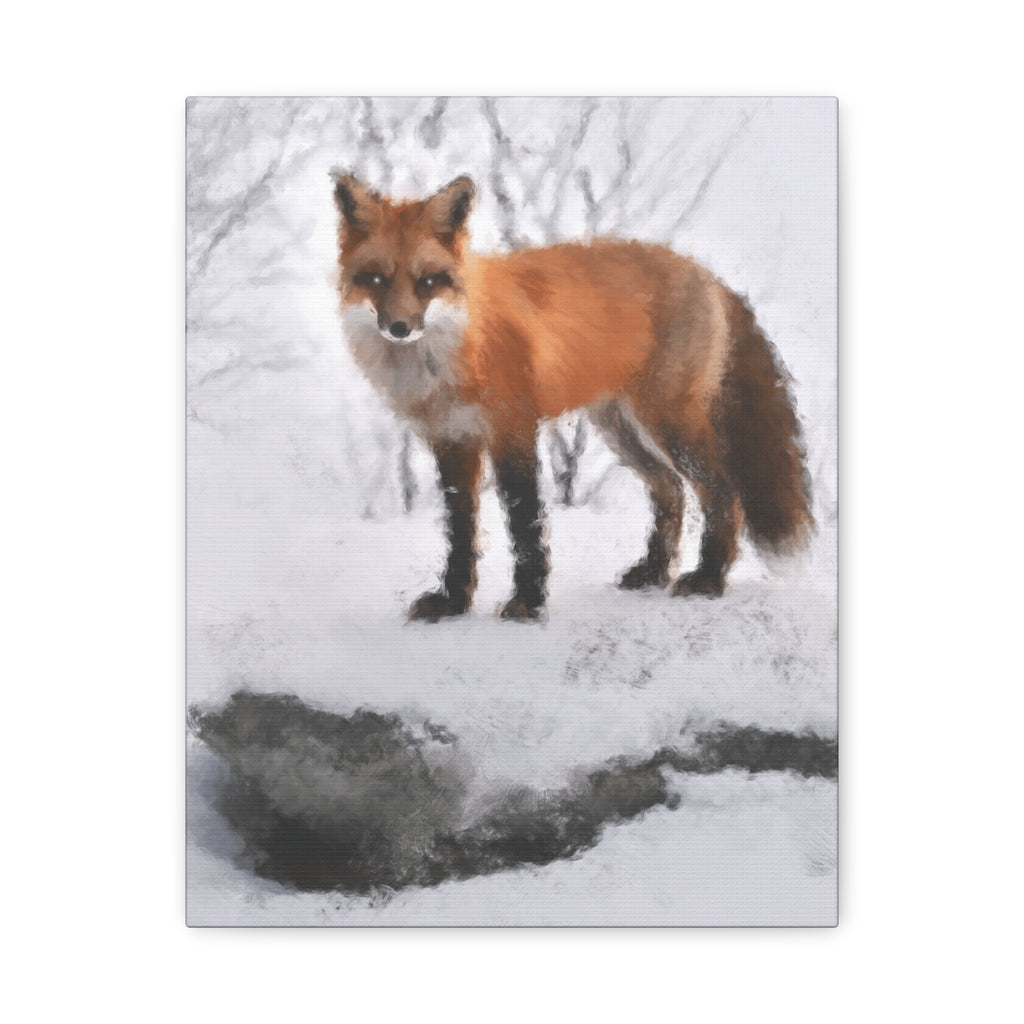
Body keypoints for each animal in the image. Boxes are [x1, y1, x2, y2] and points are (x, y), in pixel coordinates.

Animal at [331, 170, 812, 622]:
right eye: (376, 279)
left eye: (428, 281)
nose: (400, 328)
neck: (453, 350)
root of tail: (706, 272)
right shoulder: (452, 440)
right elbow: (460, 531)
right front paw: (453, 602)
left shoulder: (512, 429)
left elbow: (524, 524)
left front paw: (527, 603)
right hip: (621, 429)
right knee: (670, 491)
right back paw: (654, 572)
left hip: (669, 423)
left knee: (722, 492)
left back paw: (709, 579)